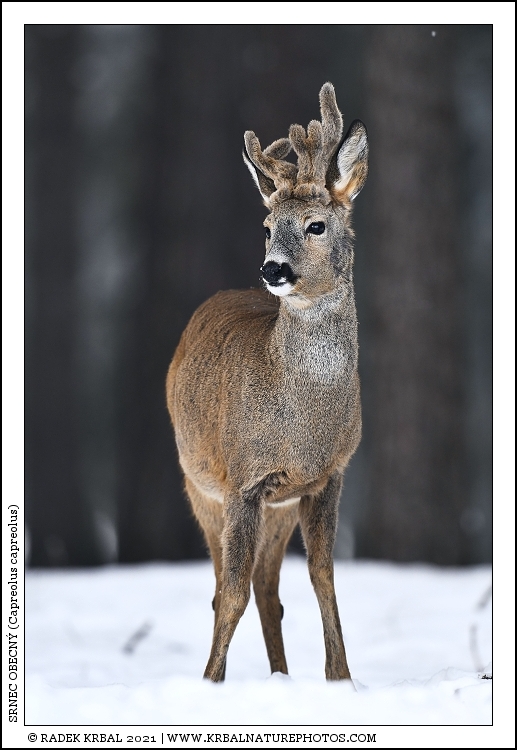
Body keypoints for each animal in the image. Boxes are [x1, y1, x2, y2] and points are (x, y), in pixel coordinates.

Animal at [166, 83, 368, 683]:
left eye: (316, 225)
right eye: (265, 227)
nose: (273, 269)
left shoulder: (327, 476)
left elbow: (323, 579)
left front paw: (341, 678)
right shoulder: (243, 480)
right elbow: (229, 593)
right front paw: (209, 682)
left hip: (278, 507)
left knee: (267, 588)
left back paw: (282, 676)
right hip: (199, 483)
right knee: (225, 587)